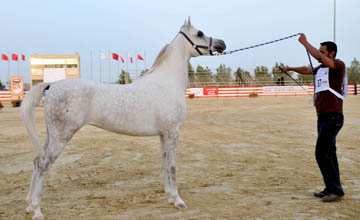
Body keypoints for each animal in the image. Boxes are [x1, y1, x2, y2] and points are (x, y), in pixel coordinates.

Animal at [21, 17, 225, 220]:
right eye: (199, 33)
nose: (222, 44)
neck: (167, 83)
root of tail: (52, 85)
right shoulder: (172, 133)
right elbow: (173, 167)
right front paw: (177, 200)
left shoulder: (164, 135)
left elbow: (165, 163)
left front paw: (169, 196)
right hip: (61, 137)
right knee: (43, 165)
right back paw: (37, 210)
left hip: (52, 136)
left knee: (36, 161)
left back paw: (30, 205)